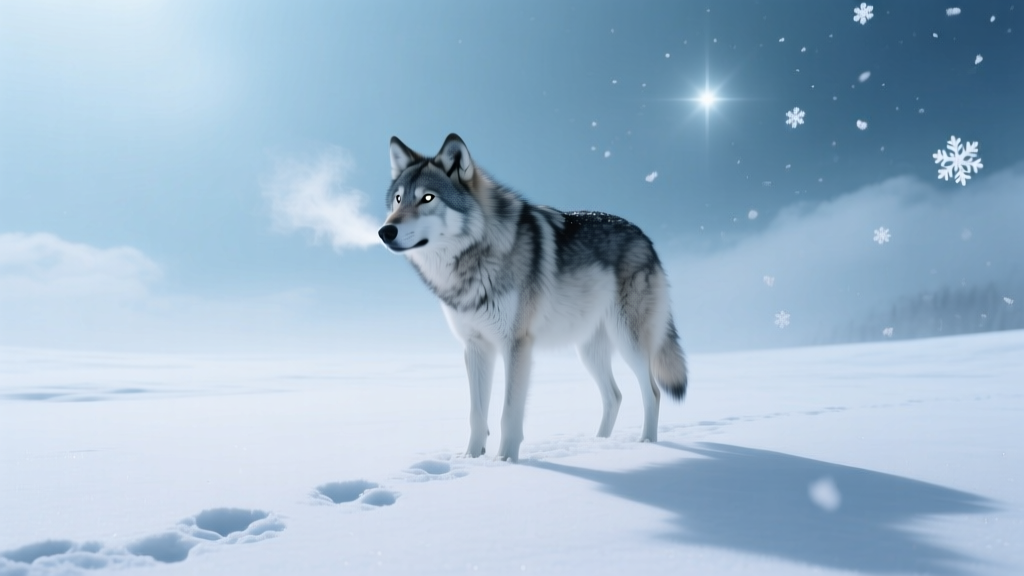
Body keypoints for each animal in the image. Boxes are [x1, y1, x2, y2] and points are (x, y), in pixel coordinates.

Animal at [378, 134, 687, 462]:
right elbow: (477, 415)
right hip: (588, 351)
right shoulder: (476, 346)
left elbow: (508, 413)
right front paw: (472, 460)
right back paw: (599, 445)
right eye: (398, 199)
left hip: (628, 342)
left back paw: (647, 445)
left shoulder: (516, 345)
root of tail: (646, 238)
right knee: (614, 396)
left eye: (427, 198)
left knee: (652, 391)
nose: (385, 231)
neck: (476, 258)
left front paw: (505, 461)